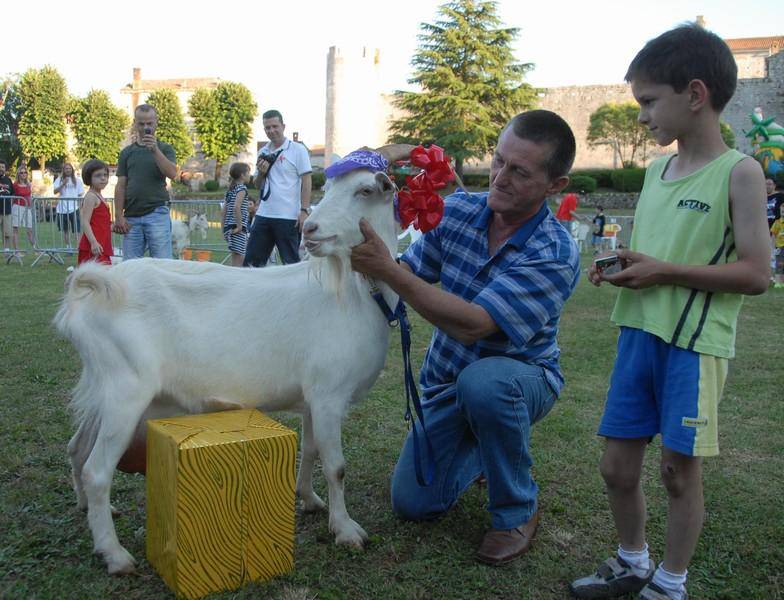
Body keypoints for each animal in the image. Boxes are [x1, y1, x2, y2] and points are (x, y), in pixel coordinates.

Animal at [54, 169, 402, 576]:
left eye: (365, 190)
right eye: (328, 189)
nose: (310, 229)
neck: (352, 293)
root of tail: (92, 291)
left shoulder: (313, 398)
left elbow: (312, 450)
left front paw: (310, 500)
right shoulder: (329, 395)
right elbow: (337, 466)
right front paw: (346, 530)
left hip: (104, 387)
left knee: (77, 448)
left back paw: (90, 511)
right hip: (127, 392)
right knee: (97, 470)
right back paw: (114, 553)